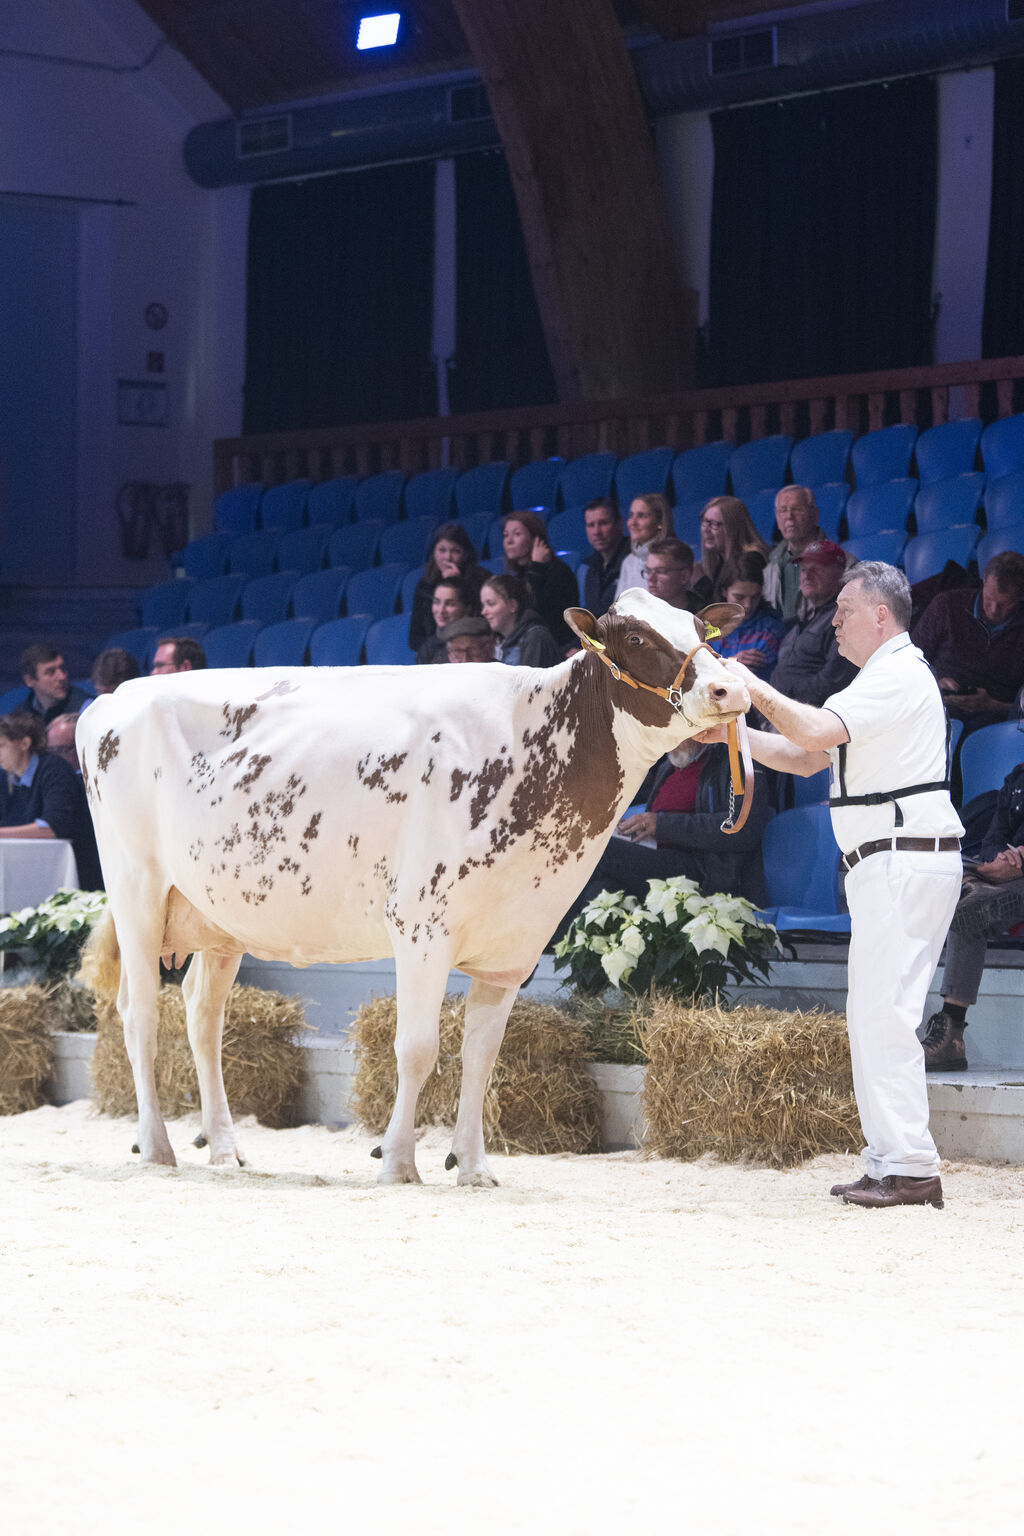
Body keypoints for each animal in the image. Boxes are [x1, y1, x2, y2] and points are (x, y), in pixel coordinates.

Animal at [77, 590, 749, 1186]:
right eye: (635, 638)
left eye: (704, 630)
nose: (731, 689)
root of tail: (112, 698)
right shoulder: (422, 925)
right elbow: (418, 1047)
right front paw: (398, 1162)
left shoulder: (516, 945)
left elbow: (481, 1057)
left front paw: (473, 1167)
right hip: (137, 890)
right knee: (139, 1013)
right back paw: (156, 1147)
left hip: (218, 917)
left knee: (202, 1015)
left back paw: (223, 1148)